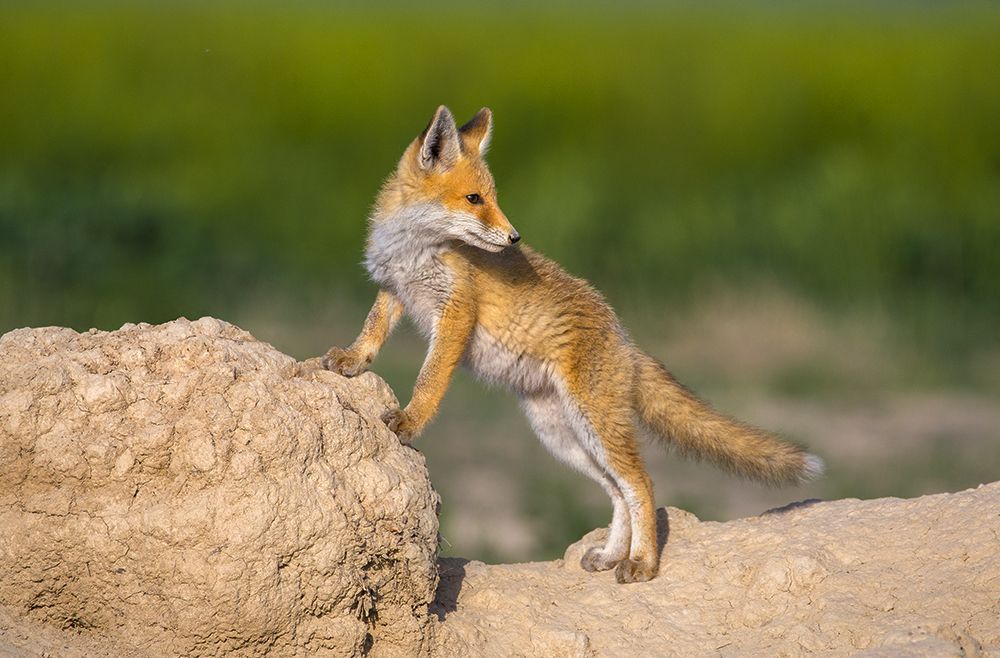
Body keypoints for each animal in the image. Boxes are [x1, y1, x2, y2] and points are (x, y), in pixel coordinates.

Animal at [322, 105, 823, 584]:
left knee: (641, 484)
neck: (416, 249)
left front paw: (410, 421)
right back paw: (610, 555)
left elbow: (429, 379)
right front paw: (351, 359)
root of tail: (626, 341)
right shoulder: (394, 290)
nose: (514, 237)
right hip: (562, 436)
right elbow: (371, 330)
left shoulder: (456, 313)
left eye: (492, 197)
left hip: (593, 425)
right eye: (474, 199)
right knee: (618, 492)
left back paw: (642, 563)